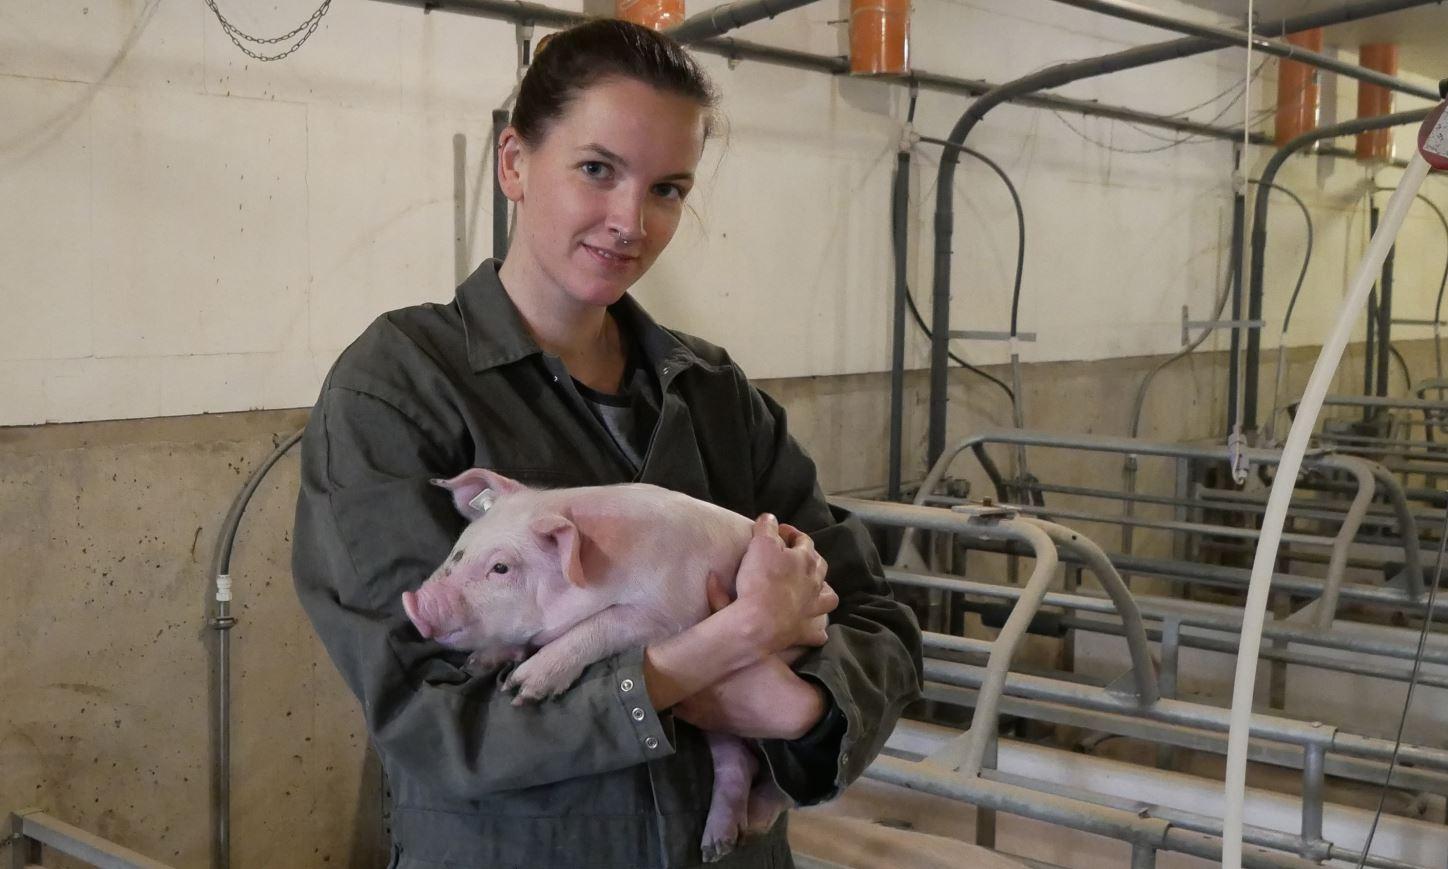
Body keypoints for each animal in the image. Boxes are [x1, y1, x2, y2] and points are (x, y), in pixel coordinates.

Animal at [401, 467, 828, 862]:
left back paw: (752, 823)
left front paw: (522, 690)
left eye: (501, 568)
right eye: (459, 551)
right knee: (734, 760)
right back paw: (716, 846)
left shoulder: (676, 613)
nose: (413, 603)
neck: (602, 574)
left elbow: (602, 625)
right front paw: (480, 664)